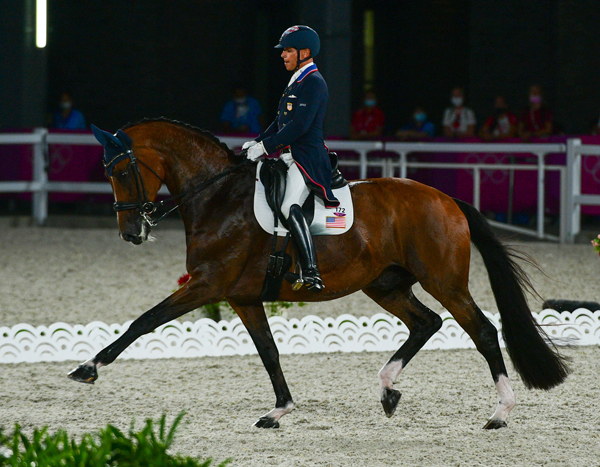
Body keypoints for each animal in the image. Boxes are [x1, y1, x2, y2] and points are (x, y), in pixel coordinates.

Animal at [68, 119, 568, 432]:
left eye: (121, 170)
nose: (132, 232)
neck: (218, 197)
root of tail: (447, 200)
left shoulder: (208, 285)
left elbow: (144, 321)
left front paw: (87, 368)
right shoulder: (242, 298)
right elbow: (269, 353)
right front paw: (279, 411)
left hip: (444, 282)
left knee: (481, 331)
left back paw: (500, 414)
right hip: (384, 284)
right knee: (426, 323)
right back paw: (388, 390)